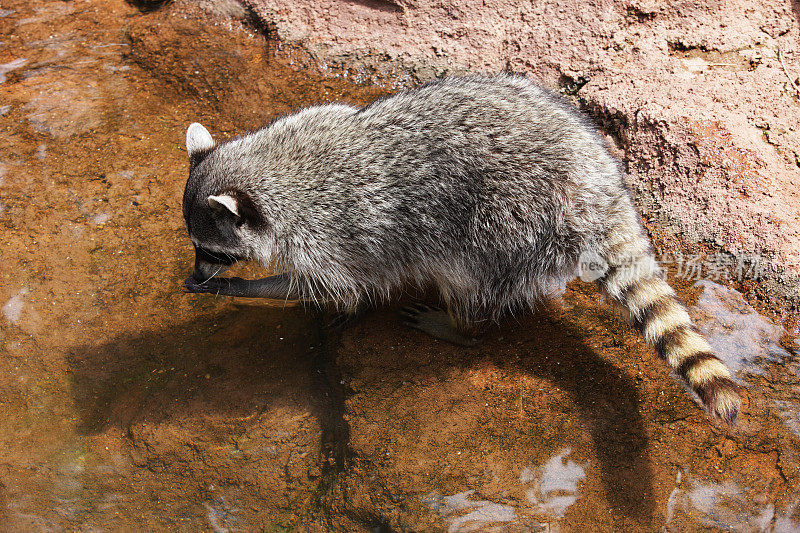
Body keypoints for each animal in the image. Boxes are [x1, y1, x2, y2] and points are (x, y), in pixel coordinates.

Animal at [181, 75, 736, 424]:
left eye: (212, 251)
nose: (199, 274)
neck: (273, 168)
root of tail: (597, 187)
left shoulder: (328, 237)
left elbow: (333, 287)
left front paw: (244, 287)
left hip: (511, 227)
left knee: (470, 281)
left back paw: (460, 325)